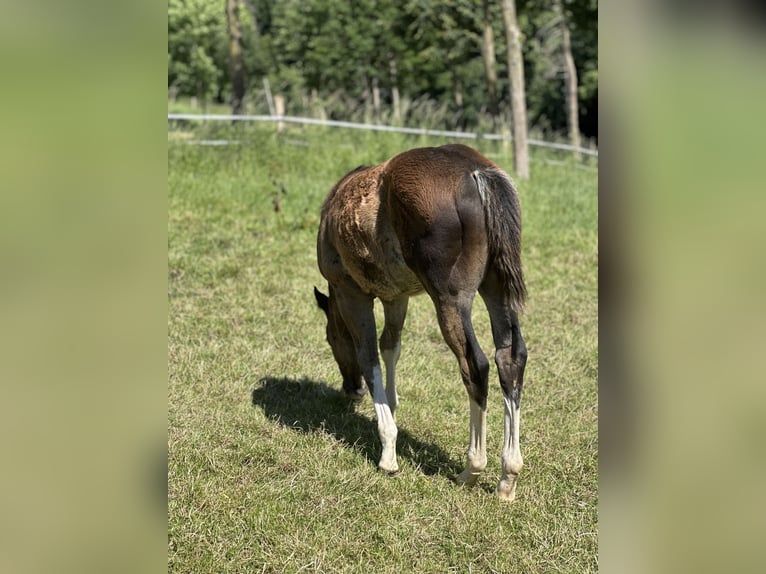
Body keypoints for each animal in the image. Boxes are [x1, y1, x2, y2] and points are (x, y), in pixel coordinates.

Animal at [312, 144, 528, 504]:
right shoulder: (396, 296)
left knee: (475, 365)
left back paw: (471, 469)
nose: (351, 389)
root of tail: (476, 172)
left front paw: (387, 453)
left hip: (450, 298)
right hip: (496, 287)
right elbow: (391, 347)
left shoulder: (350, 291)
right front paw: (391, 407)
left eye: (330, 339)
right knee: (510, 357)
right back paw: (507, 478)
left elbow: (368, 355)